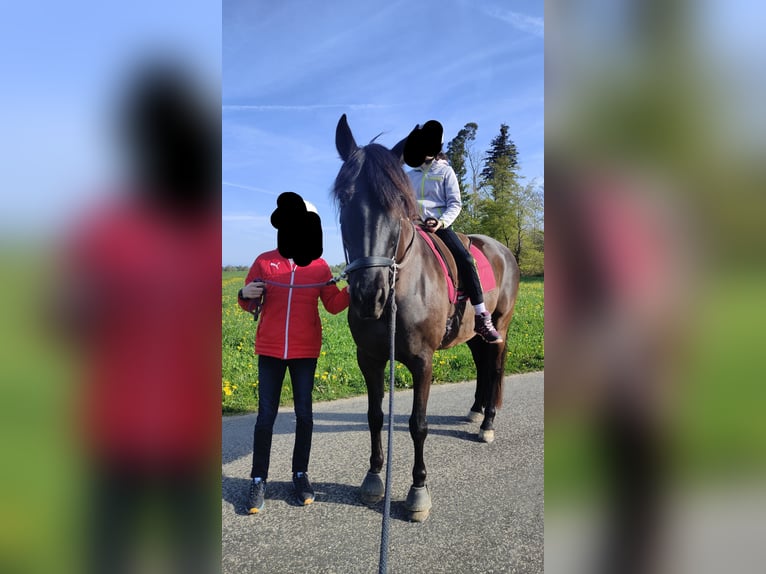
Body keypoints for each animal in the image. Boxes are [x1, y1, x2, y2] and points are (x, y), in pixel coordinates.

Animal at [332, 114, 520, 521]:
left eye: (398, 206)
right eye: (345, 199)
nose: (369, 295)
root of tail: (502, 249)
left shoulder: (422, 361)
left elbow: (418, 424)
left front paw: (418, 491)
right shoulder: (369, 359)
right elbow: (374, 415)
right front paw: (374, 478)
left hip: (500, 324)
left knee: (496, 366)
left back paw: (487, 423)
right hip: (472, 334)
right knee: (483, 366)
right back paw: (475, 410)